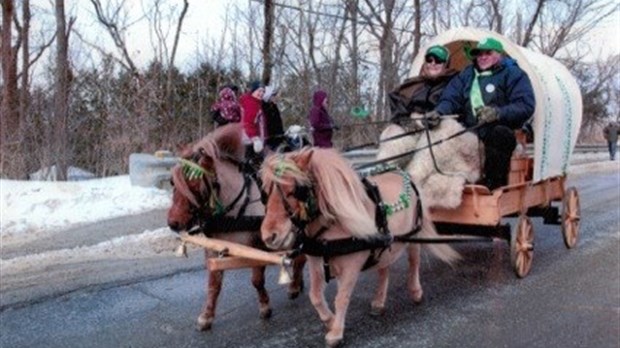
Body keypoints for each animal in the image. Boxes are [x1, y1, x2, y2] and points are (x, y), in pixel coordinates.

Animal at [167, 123, 306, 330]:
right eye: (172, 182)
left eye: (196, 185)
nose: (173, 222)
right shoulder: (214, 247)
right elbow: (214, 283)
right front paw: (207, 315)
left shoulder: (257, 245)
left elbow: (257, 280)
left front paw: (265, 306)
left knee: (302, 257)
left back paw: (295, 285)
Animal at [260, 148, 458, 346]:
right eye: (265, 193)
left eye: (295, 190)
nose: (269, 236)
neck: (331, 224)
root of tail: (404, 172)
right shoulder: (316, 262)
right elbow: (315, 296)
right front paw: (330, 321)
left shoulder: (351, 265)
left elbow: (341, 298)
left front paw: (336, 333)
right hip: (384, 243)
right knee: (383, 269)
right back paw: (378, 301)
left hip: (413, 234)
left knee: (413, 262)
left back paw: (416, 291)